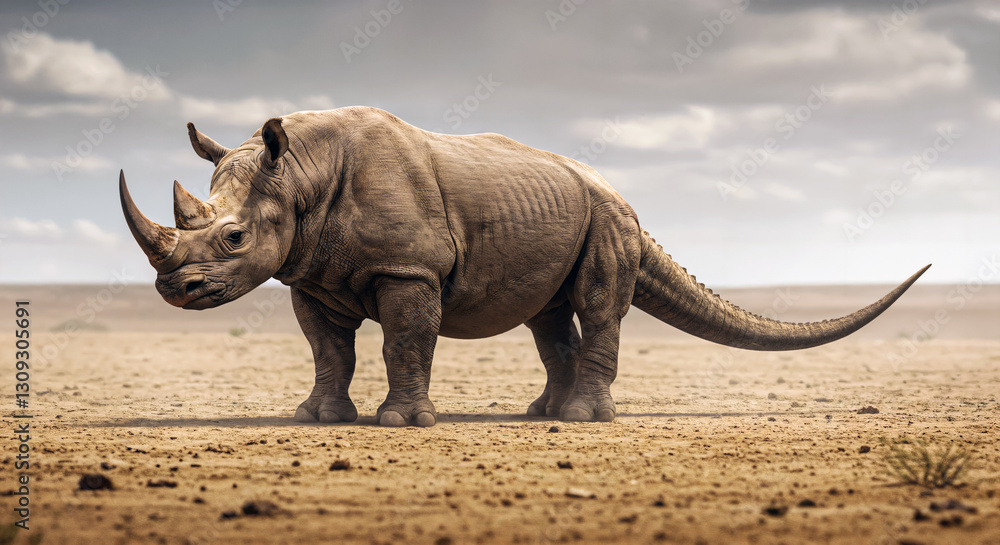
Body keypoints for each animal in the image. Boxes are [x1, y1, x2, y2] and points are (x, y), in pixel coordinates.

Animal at [119, 106, 929, 427]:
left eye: (232, 237)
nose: (173, 288)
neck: (299, 177)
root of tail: (619, 193)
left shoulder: (408, 268)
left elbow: (403, 341)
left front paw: (401, 424)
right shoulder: (309, 272)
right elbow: (328, 349)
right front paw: (317, 418)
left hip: (609, 218)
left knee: (598, 306)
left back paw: (581, 421)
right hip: (569, 213)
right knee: (549, 319)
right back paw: (541, 414)